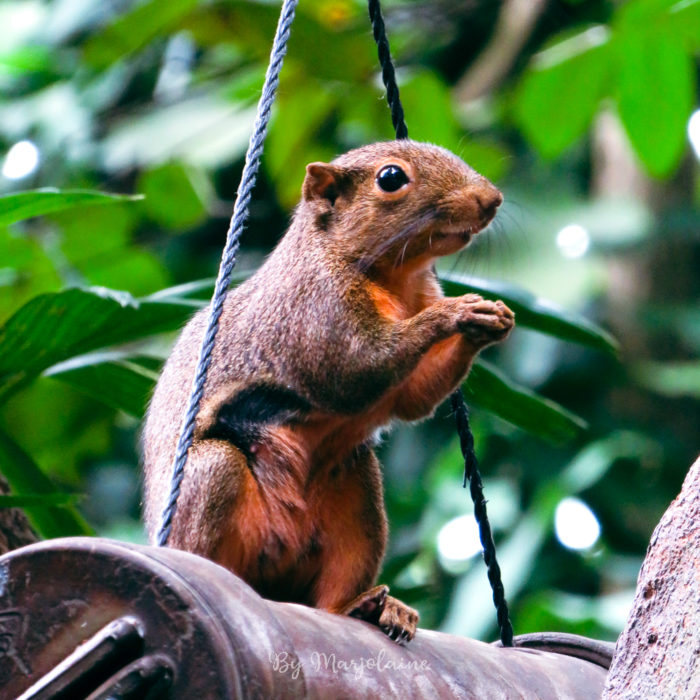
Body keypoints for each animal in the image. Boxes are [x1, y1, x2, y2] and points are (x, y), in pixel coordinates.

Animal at [142, 139, 516, 644]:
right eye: (391, 178)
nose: (490, 200)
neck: (394, 276)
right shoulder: (315, 310)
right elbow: (357, 372)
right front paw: (457, 313)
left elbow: (413, 399)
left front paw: (490, 321)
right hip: (209, 479)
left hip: (355, 494)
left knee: (336, 591)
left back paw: (373, 608)